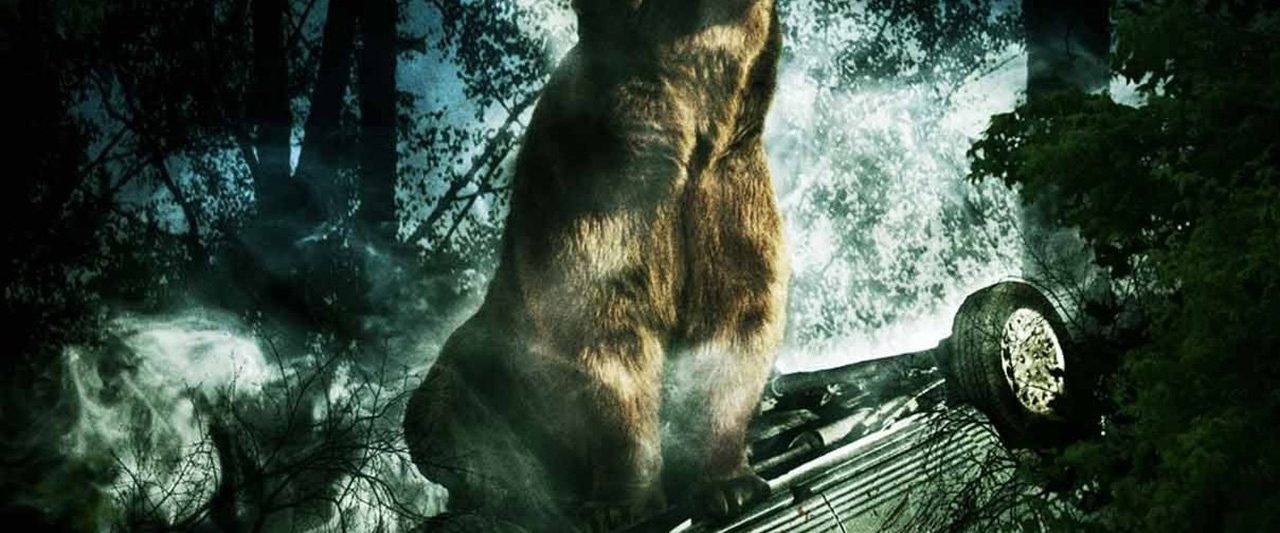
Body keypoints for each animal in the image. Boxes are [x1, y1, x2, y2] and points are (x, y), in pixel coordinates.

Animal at [403, 0, 787, 529]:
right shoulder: (600, 197)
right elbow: (601, 338)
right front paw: (620, 502)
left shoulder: (728, 197)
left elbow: (735, 326)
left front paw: (731, 484)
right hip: (480, 374)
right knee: (444, 416)